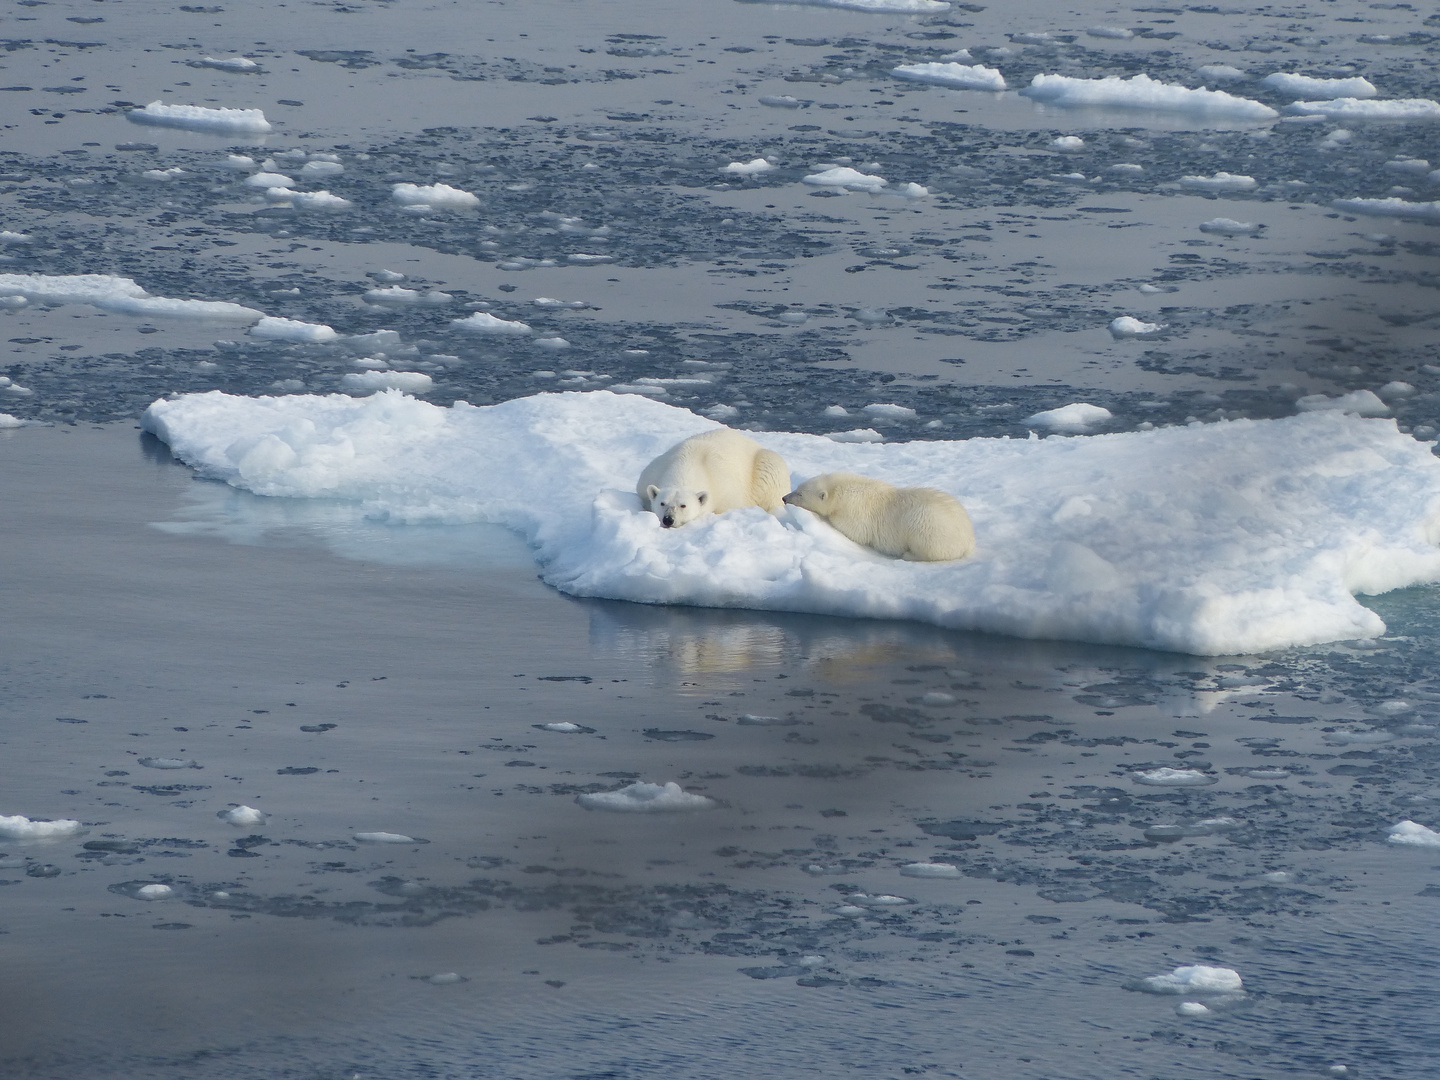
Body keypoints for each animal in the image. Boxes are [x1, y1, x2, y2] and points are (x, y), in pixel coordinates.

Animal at [636, 426, 789, 529]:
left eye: (683, 505)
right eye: (662, 503)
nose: (668, 519)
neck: (690, 461)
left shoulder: (726, 490)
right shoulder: (652, 473)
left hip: (768, 465)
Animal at [783, 469, 973, 561]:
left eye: (799, 494)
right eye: (797, 488)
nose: (784, 498)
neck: (840, 488)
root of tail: (969, 540)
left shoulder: (854, 511)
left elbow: (855, 532)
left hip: (927, 525)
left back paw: (909, 554)